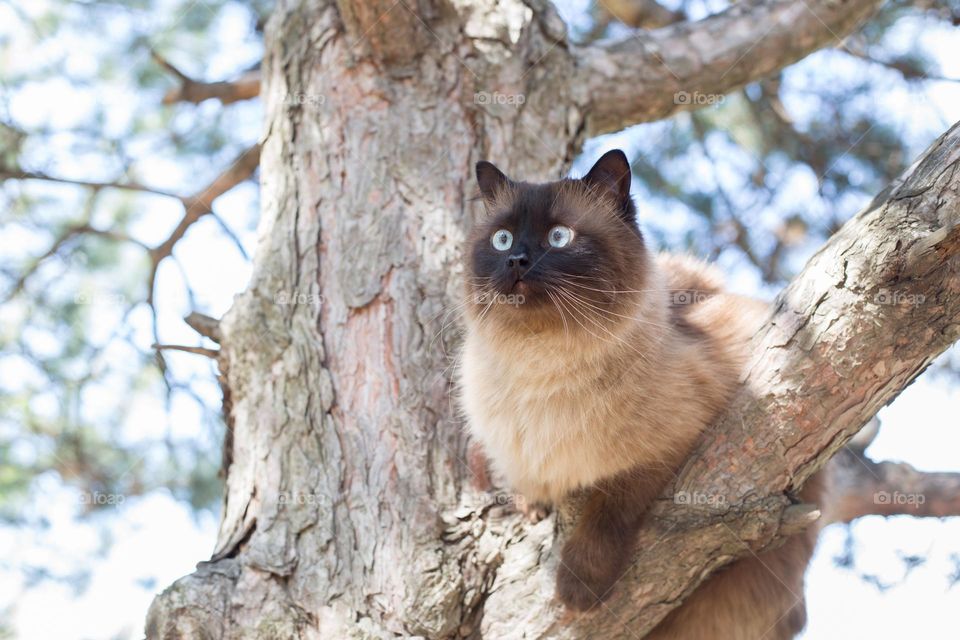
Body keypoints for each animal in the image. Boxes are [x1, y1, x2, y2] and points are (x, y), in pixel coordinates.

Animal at [458, 149, 824, 636]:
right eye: (501, 240)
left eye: (559, 237)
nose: (516, 260)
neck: (540, 367)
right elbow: (531, 482)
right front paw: (532, 507)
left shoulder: (672, 444)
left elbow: (609, 509)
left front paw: (578, 588)